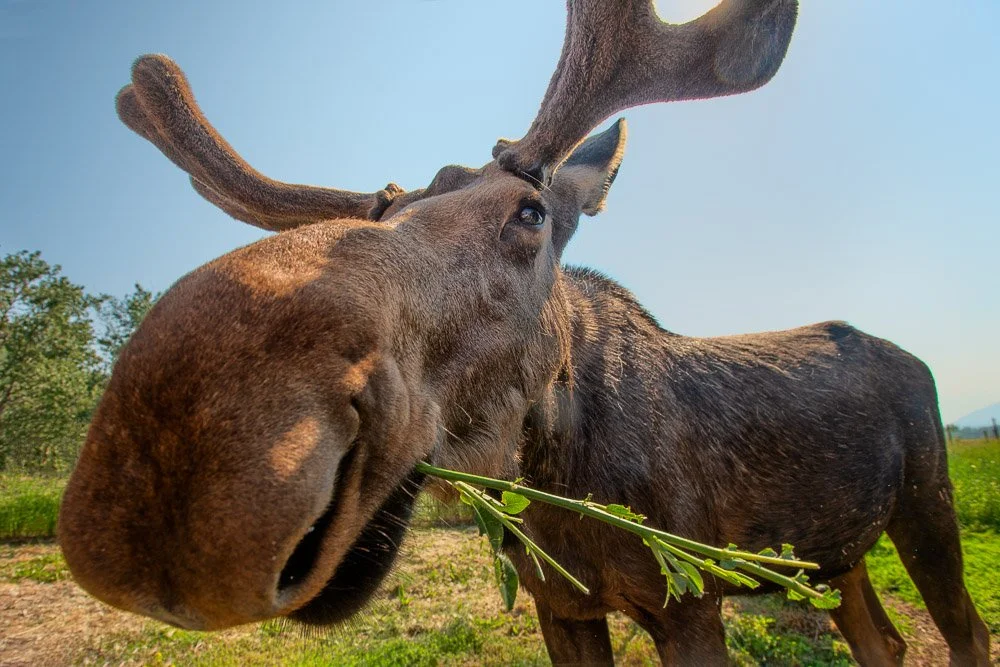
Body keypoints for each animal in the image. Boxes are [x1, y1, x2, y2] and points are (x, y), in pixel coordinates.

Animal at [58, 1, 992, 665]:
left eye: (531, 212)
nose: (182, 482)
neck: (563, 475)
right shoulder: (560, 605)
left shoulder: (691, 599)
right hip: (835, 554)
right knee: (885, 641)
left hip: (928, 498)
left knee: (968, 632)